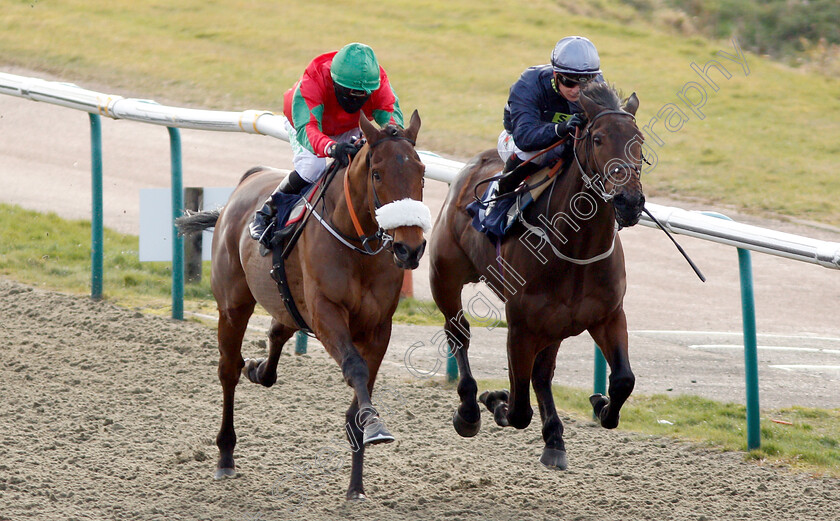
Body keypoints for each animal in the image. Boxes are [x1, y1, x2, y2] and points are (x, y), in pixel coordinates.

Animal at [176, 110, 426, 500]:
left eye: (422, 172)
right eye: (377, 174)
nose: (409, 248)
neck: (358, 244)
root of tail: (249, 179)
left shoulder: (378, 327)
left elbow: (362, 391)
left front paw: (356, 483)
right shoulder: (326, 313)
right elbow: (355, 369)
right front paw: (375, 425)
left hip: (288, 302)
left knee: (278, 331)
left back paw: (260, 369)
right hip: (233, 304)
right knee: (229, 369)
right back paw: (225, 455)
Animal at [430, 83, 648, 470]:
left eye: (639, 140)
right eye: (598, 139)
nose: (629, 201)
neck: (577, 251)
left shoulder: (607, 315)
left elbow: (623, 380)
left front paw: (600, 405)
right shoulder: (521, 327)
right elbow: (518, 409)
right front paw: (495, 400)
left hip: (556, 324)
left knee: (543, 373)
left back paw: (555, 439)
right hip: (444, 275)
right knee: (459, 333)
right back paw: (469, 410)